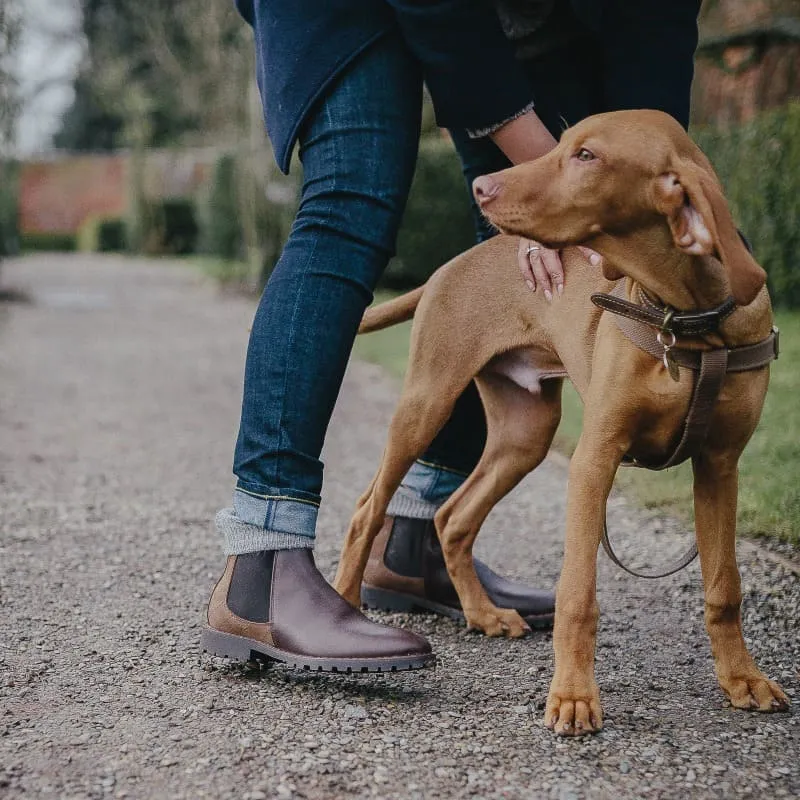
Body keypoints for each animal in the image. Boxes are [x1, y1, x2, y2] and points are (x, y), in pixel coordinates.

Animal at [332, 109, 788, 736]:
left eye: (587, 156)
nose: (482, 188)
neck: (687, 319)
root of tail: (451, 264)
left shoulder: (720, 466)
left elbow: (725, 587)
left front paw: (742, 678)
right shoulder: (595, 459)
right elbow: (577, 594)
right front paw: (573, 697)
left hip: (526, 434)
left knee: (453, 517)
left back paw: (484, 614)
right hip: (426, 403)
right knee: (366, 509)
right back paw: (345, 610)